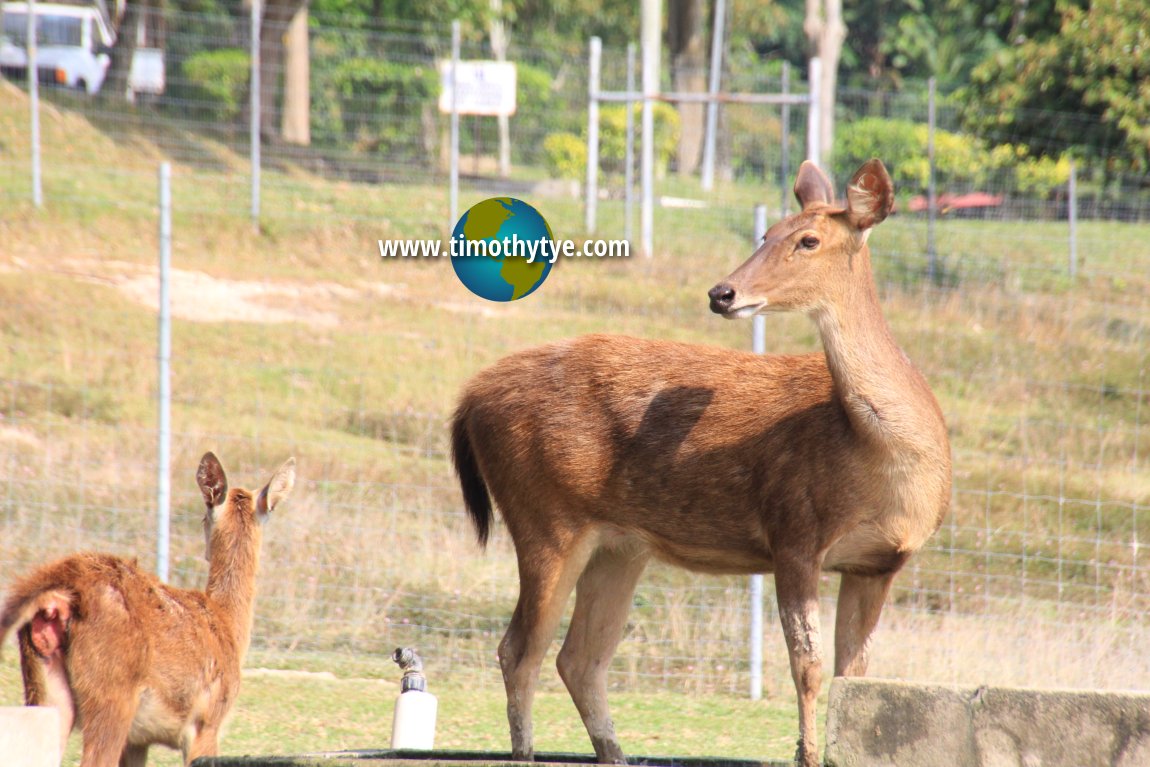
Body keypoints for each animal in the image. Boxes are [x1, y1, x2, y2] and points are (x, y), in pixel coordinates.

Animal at [0, 453, 294, 763]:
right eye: (204, 517)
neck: (228, 624)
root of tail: (63, 581)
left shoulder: (138, 741)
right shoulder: (208, 721)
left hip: (46, 686)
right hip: (112, 689)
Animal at [448, 158, 952, 763]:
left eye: (807, 239)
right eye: (766, 234)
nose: (722, 292)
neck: (882, 461)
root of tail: (469, 398)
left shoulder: (879, 563)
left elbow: (852, 675)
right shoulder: (793, 531)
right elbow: (807, 667)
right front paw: (805, 753)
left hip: (619, 546)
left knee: (580, 656)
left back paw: (614, 751)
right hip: (543, 515)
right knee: (519, 648)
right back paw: (527, 750)